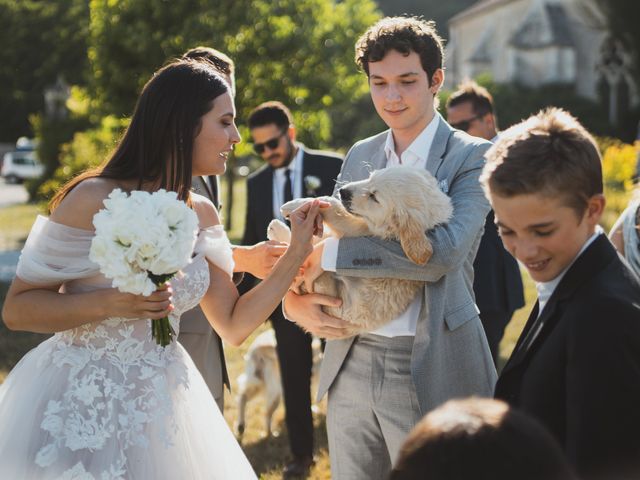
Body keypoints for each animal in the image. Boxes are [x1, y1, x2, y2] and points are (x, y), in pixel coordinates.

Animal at [272, 167, 452, 340]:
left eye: (374, 197)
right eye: (371, 176)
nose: (343, 191)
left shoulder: (358, 231)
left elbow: (334, 207)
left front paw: (292, 206)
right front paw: (297, 204)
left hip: (329, 297)